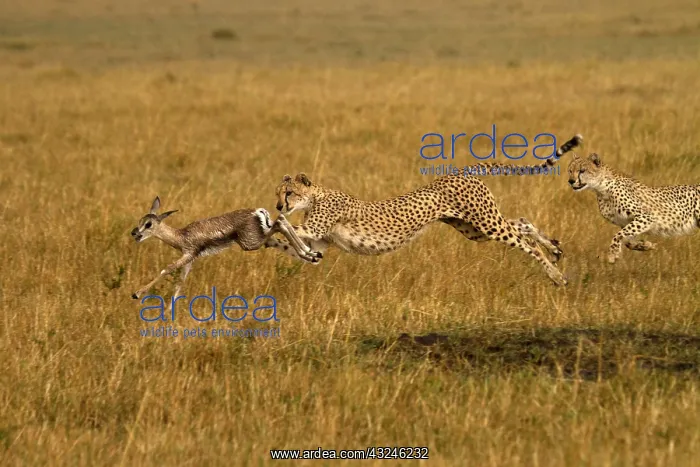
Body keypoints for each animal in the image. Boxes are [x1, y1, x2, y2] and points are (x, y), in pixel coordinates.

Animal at [130, 196, 322, 302]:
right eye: (140, 220)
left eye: (148, 224)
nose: (135, 233)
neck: (181, 235)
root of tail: (257, 211)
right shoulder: (190, 260)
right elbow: (179, 284)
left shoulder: (188, 254)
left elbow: (167, 269)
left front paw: (137, 294)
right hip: (263, 240)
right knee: (282, 230)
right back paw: (312, 255)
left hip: (251, 243)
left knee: (281, 222)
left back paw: (309, 253)